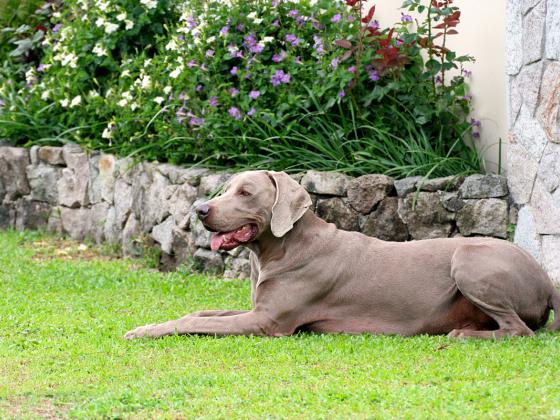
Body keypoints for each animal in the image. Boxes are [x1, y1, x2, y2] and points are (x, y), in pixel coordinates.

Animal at [123, 169, 560, 340]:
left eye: (245, 193)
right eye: (226, 188)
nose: (199, 210)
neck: (282, 248)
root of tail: (546, 278)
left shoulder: (268, 322)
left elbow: (194, 323)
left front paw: (142, 331)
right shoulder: (256, 309)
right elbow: (200, 313)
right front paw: (148, 324)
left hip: (469, 260)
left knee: (519, 330)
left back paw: (464, 335)